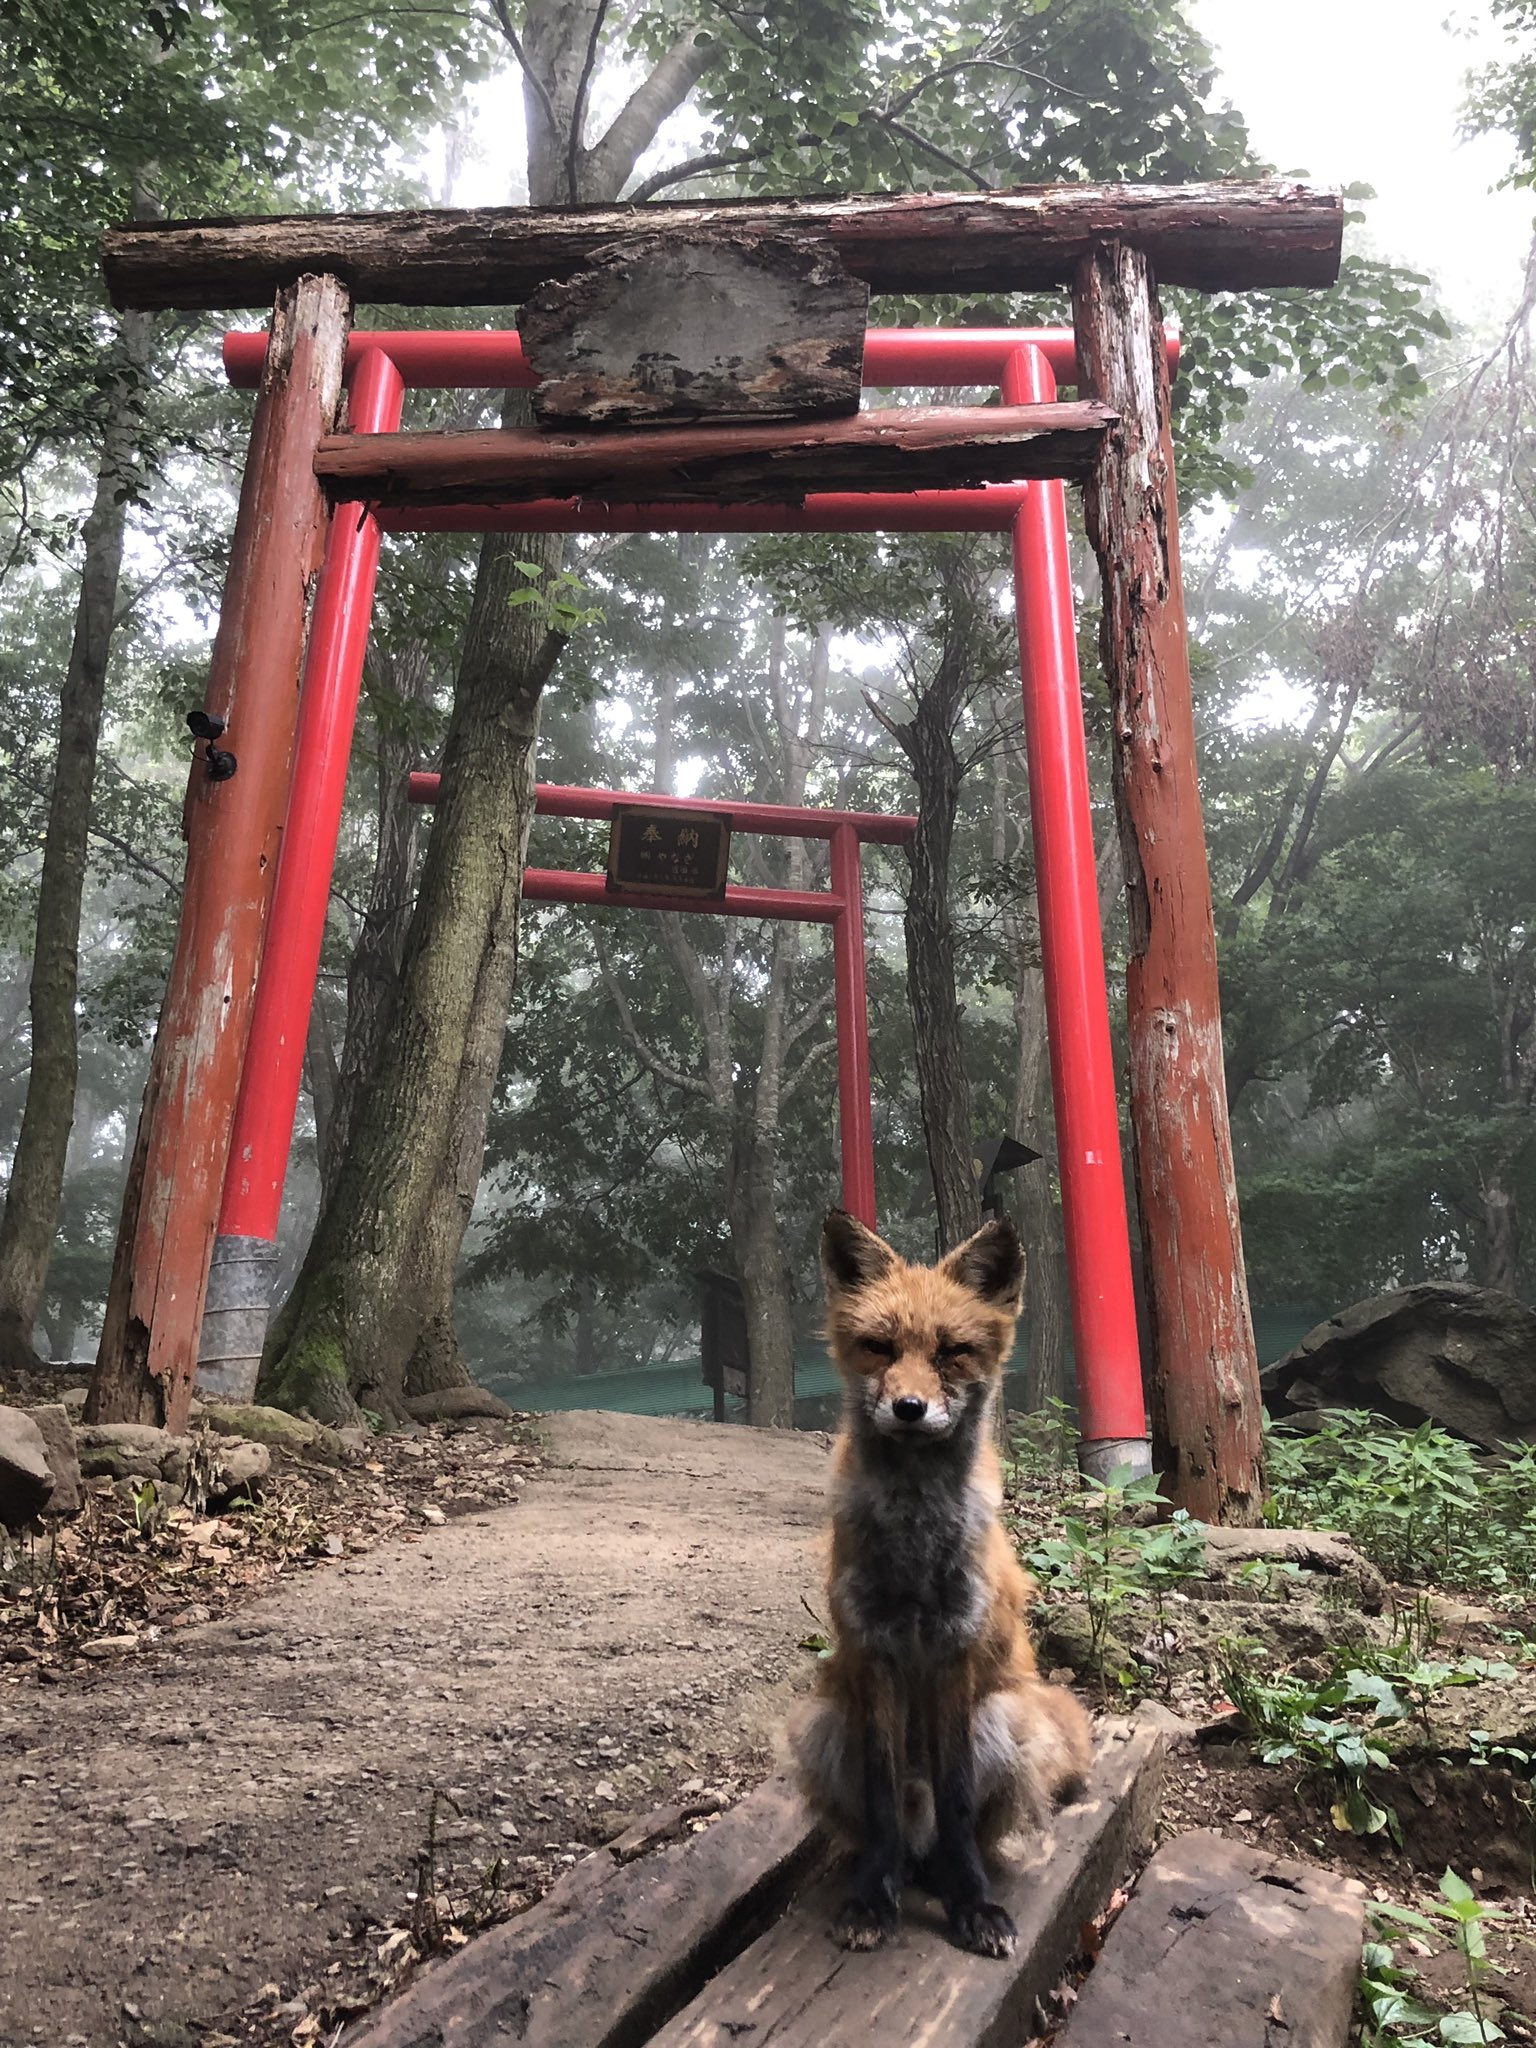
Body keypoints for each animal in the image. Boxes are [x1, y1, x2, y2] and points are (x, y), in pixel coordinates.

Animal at [794, 1204, 1097, 1957]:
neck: (914, 1540)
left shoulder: (956, 1651)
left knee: (960, 1829)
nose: (908, 1407)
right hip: (824, 1722)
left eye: (951, 1351)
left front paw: (971, 1903)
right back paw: (901, 1868)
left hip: (1004, 1716)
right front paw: (873, 1898)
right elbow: (880, 1806)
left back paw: (946, 1871)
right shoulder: (875, 1651)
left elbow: (958, 1801)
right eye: (878, 1347)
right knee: (900, 1833)